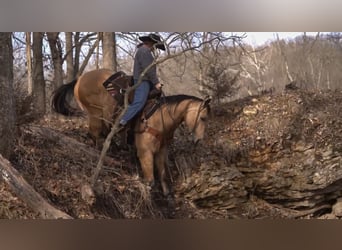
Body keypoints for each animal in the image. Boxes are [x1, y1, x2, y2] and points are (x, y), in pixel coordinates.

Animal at [52, 68, 211, 195]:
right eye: (203, 118)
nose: (198, 140)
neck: (160, 117)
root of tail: (80, 78)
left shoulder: (161, 151)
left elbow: (163, 176)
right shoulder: (145, 152)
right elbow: (150, 180)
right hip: (94, 114)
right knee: (95, 135)